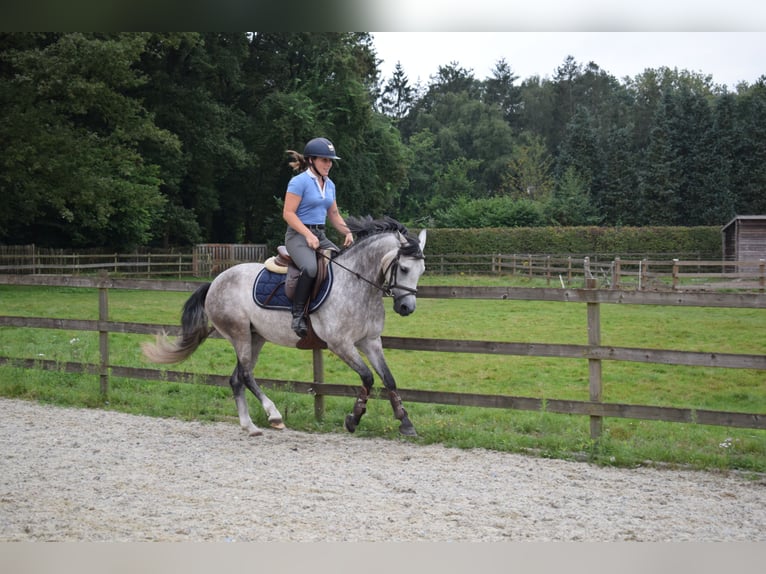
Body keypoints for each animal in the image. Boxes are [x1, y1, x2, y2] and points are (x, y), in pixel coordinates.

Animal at [143, 216, 428, 436]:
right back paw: (273, 415)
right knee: (246, 375)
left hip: (255, 337)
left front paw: (406, 423)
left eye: (422, 270)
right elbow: (368, 377)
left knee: (237, 378)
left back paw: (250, 426)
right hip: (239, 334)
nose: (407, 308)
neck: (357, 284)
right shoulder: (341, 344)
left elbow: (389, 380)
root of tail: (216, 281)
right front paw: (353, 419)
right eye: (403, 268)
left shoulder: (370, 342)